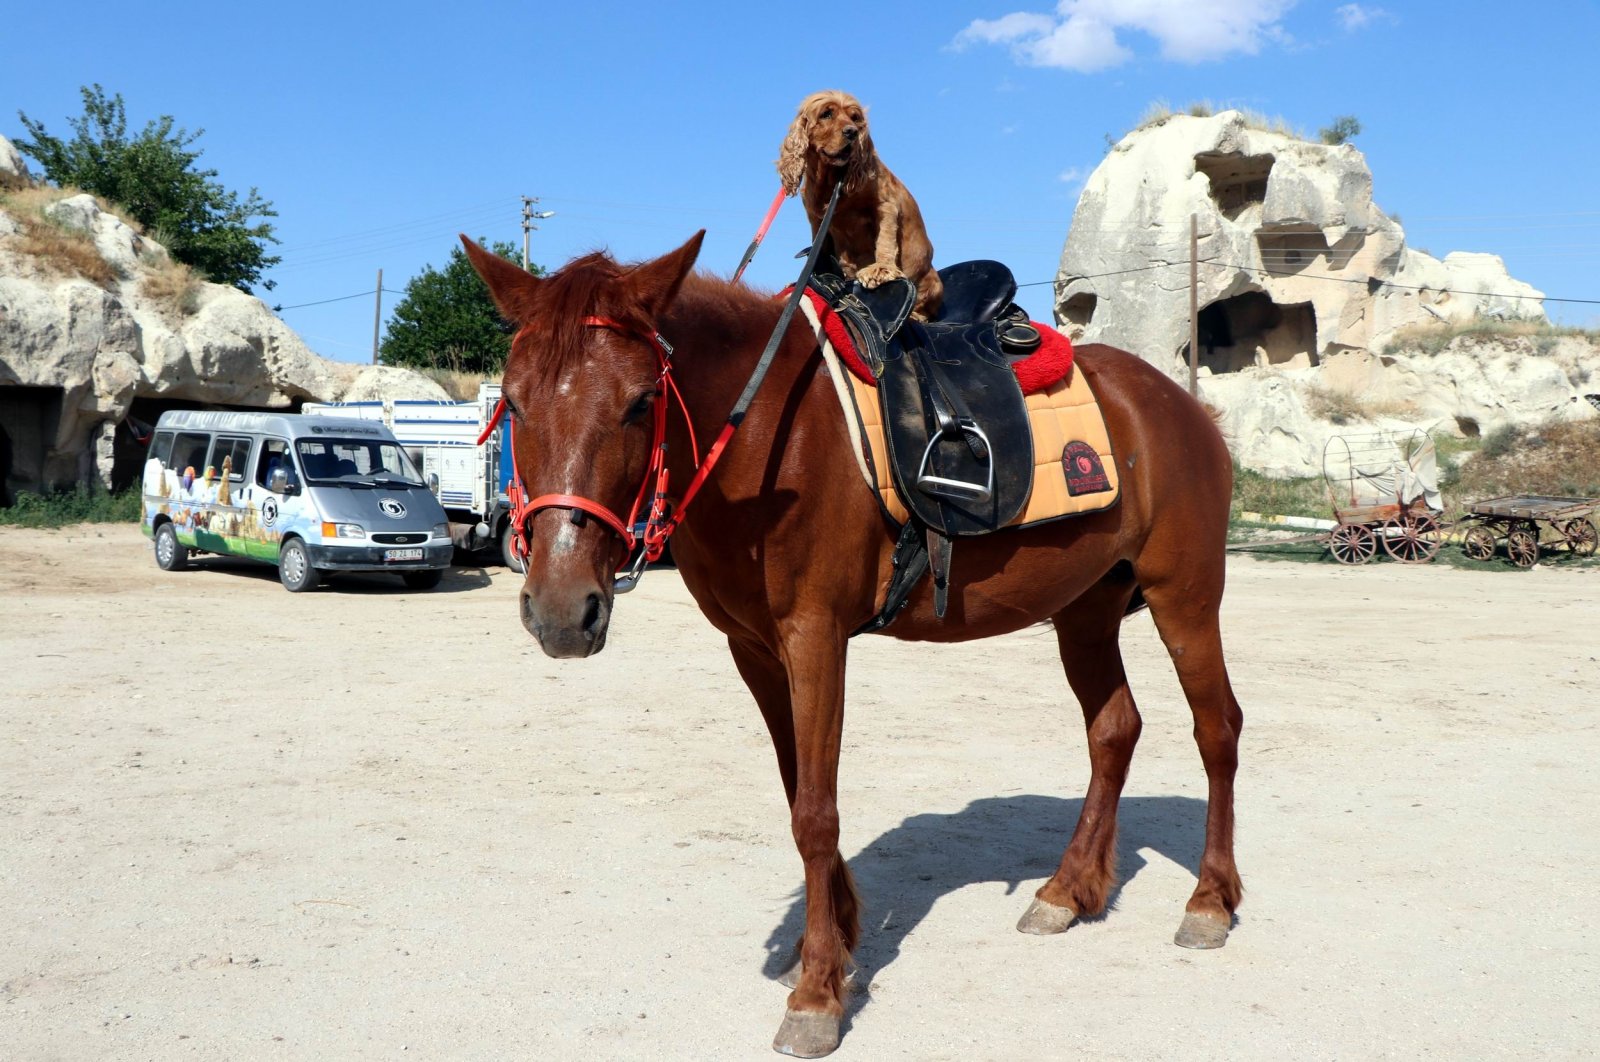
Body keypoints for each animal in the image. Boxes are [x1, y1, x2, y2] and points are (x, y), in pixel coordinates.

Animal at [464, 228, 1248, 1055]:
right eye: (513, 402)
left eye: (642, 401)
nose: (561, 610)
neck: (768, 440)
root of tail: (1183, 406)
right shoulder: (755, 649)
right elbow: (796, 792)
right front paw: (836, 942)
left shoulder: (815, 637)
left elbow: (816, 813)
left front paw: (816, 994)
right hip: (1085, 611)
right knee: (1114, 729)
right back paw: (1068, 892)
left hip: (1185, 595)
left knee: (1216, 730)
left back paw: (1208, 901)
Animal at [771, 90, 934, 319]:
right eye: (826, 114)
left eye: (855, 118)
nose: (852, 132)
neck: (830, 182)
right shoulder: (816, 220)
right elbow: (819, 250)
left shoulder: (885, 205)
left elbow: (885, 240)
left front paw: (880, 270)